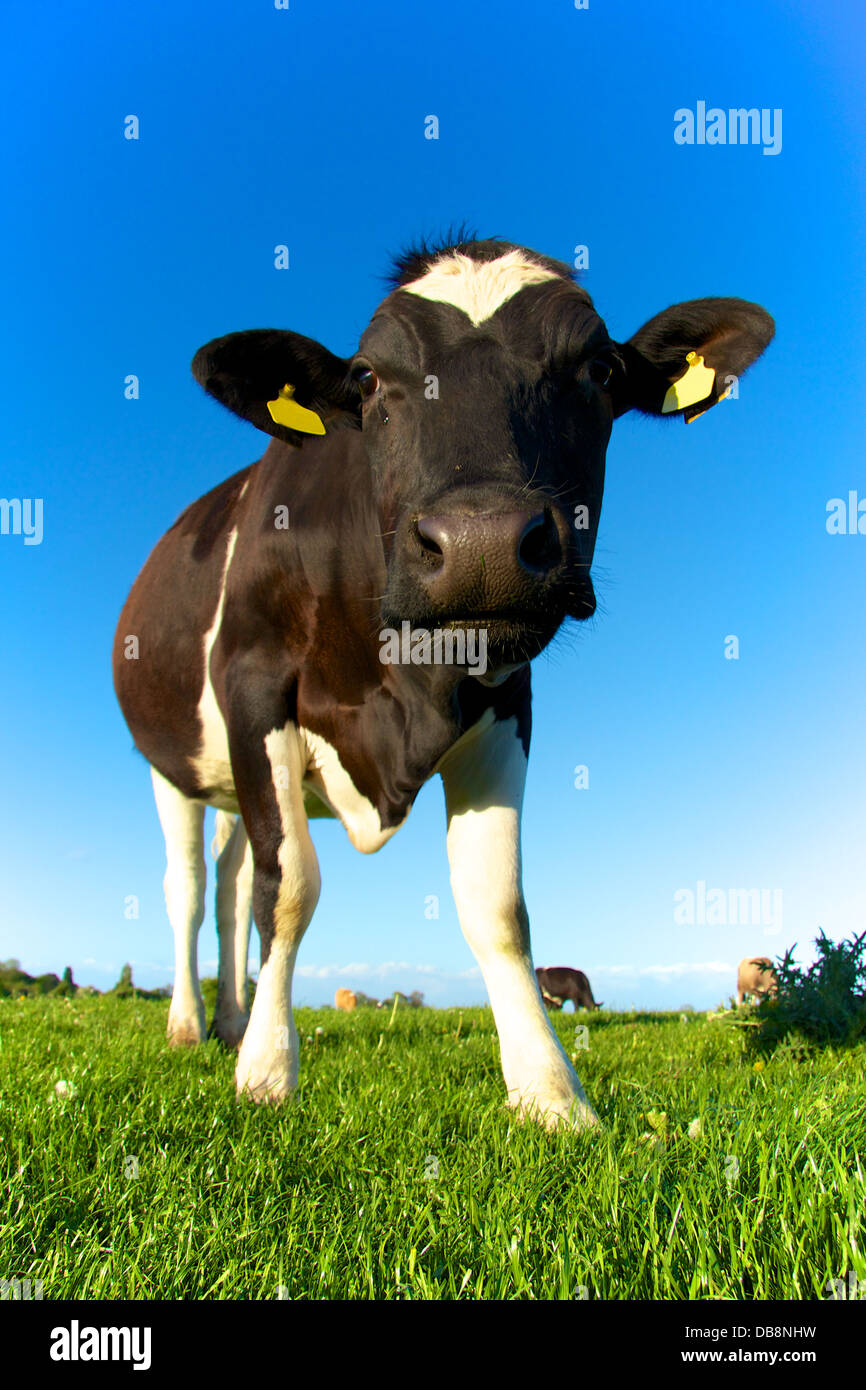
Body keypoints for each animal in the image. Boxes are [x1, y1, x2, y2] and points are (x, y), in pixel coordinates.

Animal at [113, 232, 773, 1129]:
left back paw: (231, 1019)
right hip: (174, 764)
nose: (482, 544)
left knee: (228, 883)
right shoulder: (254, 685)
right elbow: (290, 887)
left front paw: (550, 1091)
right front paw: (269, 1074)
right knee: (188, 889)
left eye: (600, 370)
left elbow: (495, 904)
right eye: (366, 379)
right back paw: (192, 1027)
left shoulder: (506, 702)